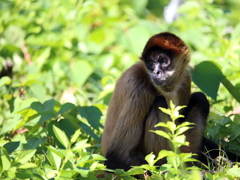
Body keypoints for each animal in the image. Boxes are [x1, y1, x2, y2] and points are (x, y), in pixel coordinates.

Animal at [101, 31, 238, 171]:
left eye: (163, 61)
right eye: (150, 63)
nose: (156, 72)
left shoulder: (185, 77)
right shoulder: (137, 85)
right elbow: (116, 157)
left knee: (200, 98)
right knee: (159, 103)